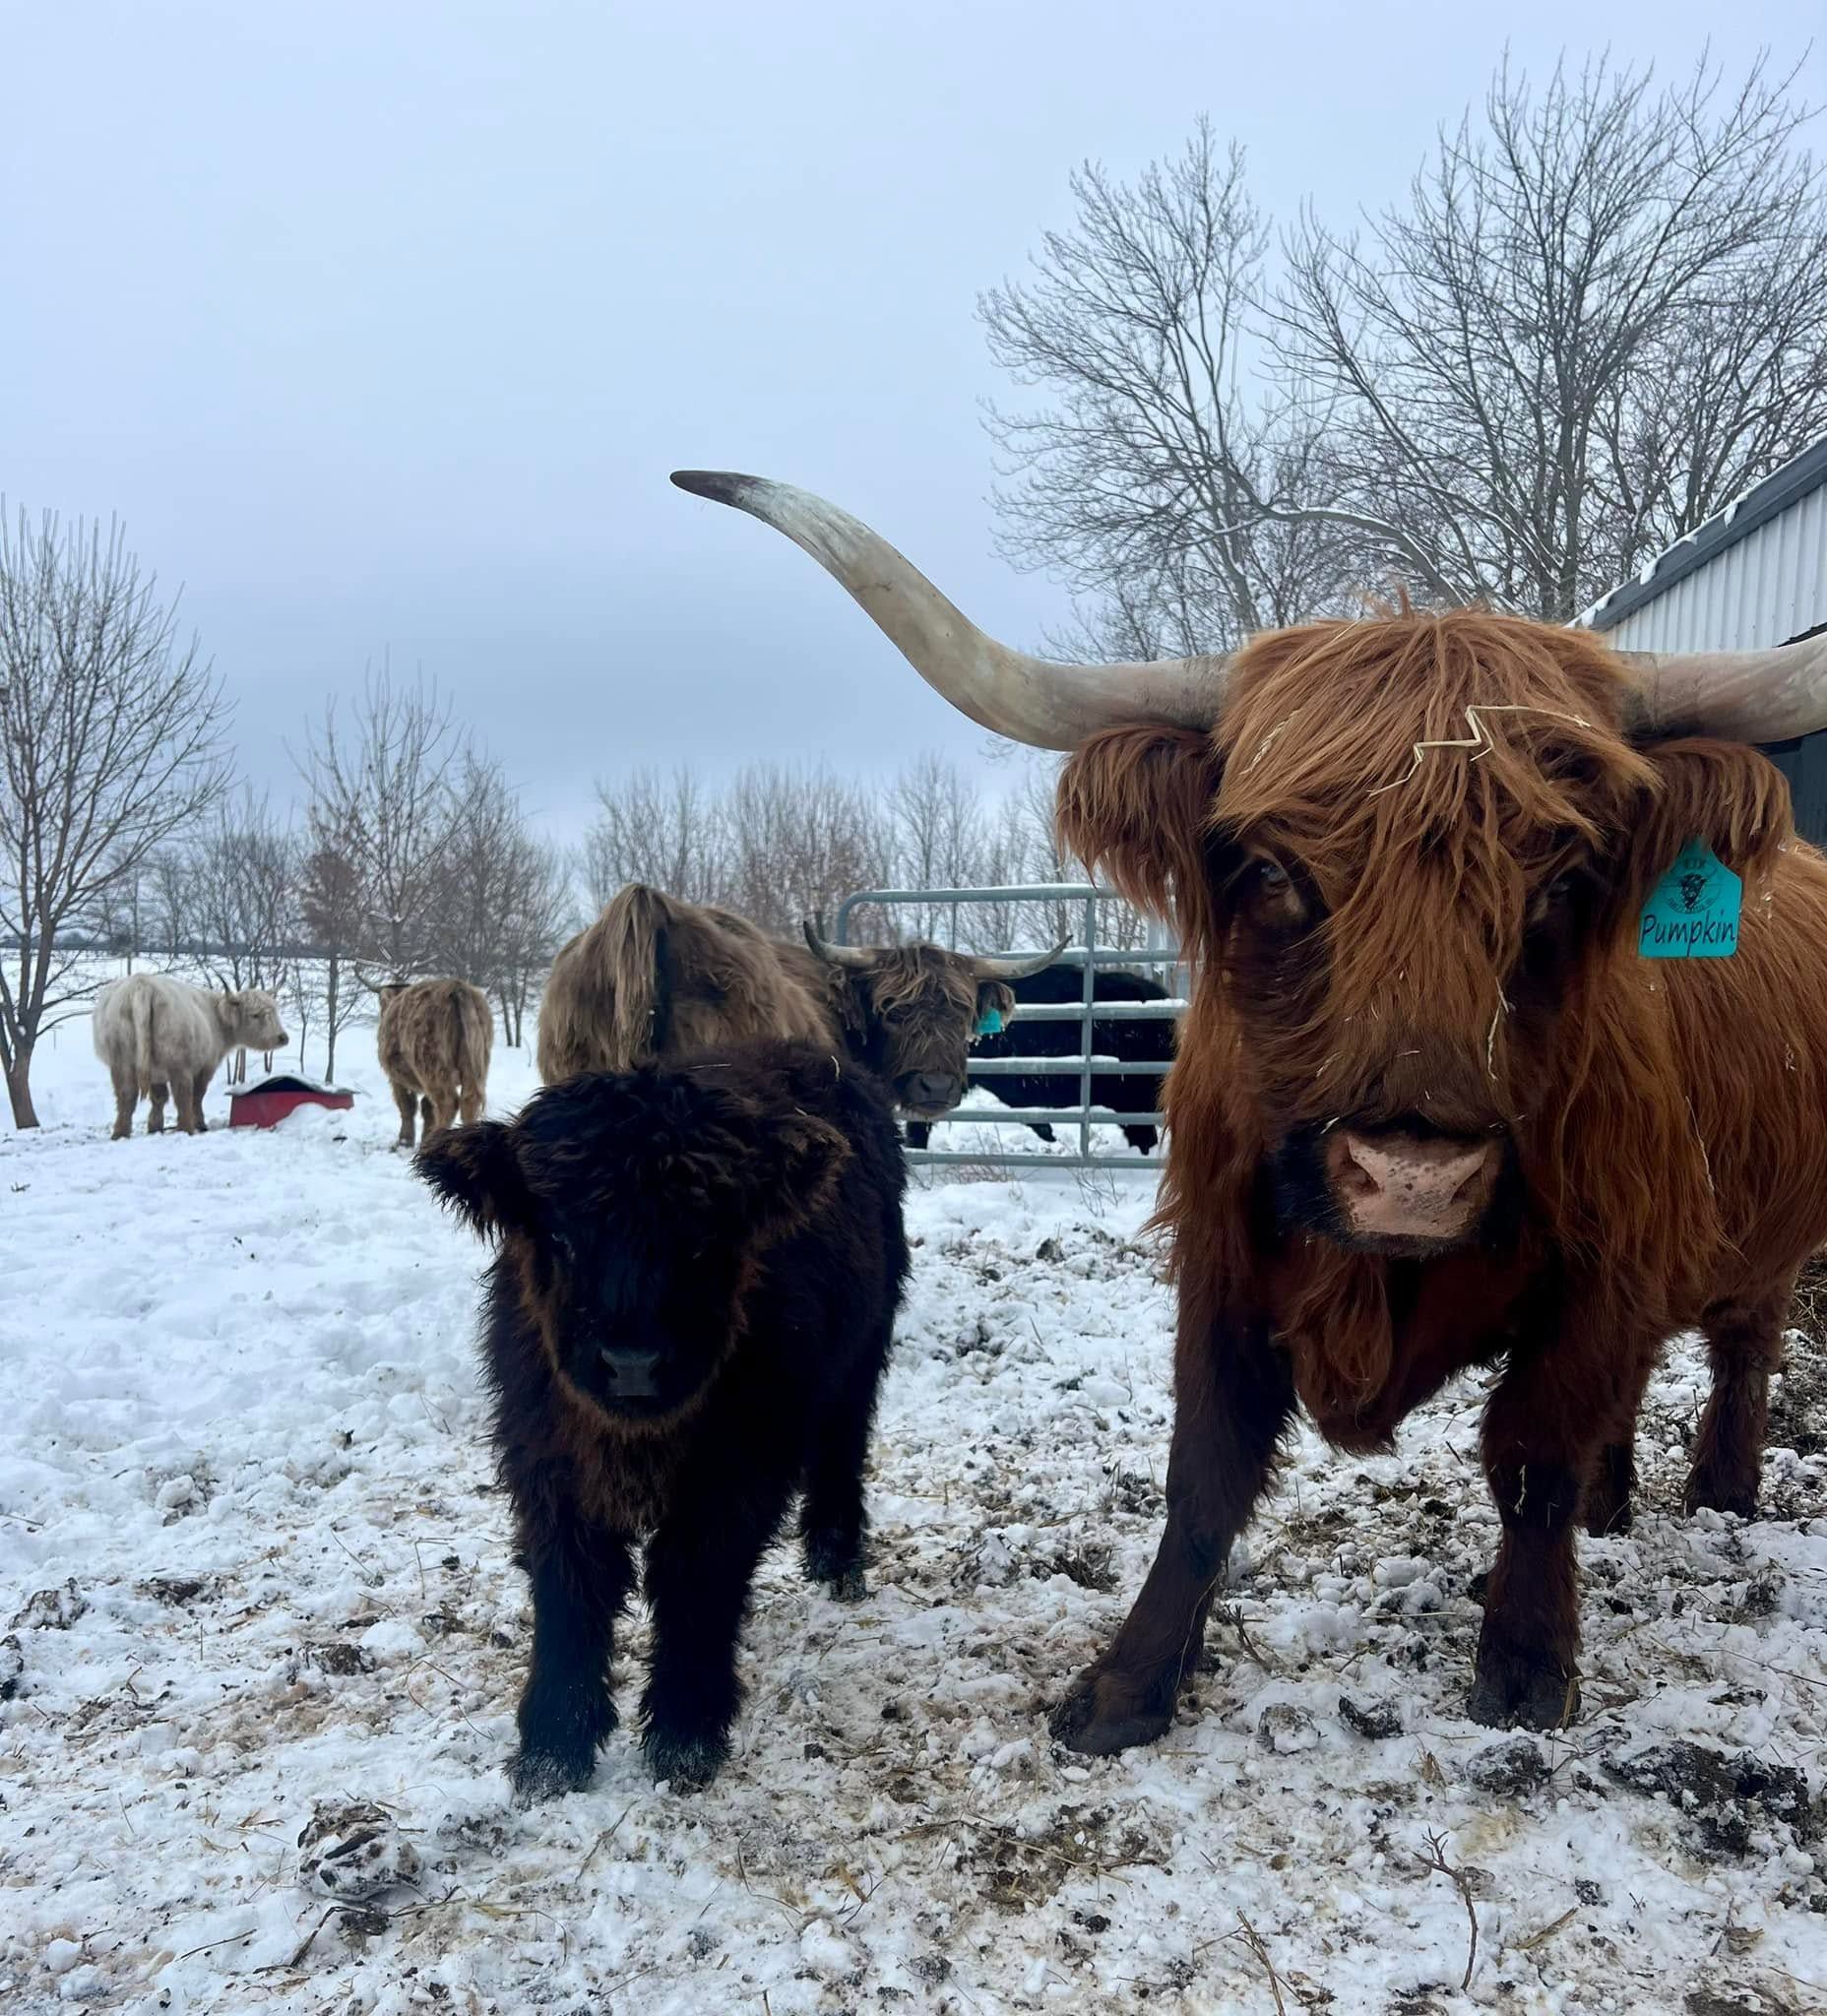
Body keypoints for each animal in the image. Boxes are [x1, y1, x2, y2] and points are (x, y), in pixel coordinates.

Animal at [92, 974, 289, 1138]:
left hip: (122, 1062)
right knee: (184, 1094)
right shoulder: (206, 1066)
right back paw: (187, 1128)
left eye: (274, 1011)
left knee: (126, 1094)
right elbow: (198, 1095)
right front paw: (199, 1123)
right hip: (179, 1063)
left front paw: (154, 1127)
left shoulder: (157, 1072)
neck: (216, 1020)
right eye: (255, 1015)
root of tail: (143, 984)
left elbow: (159, 1098)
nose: (283, 1037)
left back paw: (120, 1133)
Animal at [376, 978, 493, 1146]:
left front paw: (404, 1141)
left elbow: (407, 1105)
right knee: (469, 1101)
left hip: (432, 1066)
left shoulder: (396, 1079)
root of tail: (456, 987)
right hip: (475, 1067)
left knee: (447, 1104)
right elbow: (427, 1108)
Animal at [415, 1039, 909, 1799]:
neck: (632, 1443)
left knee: (842, 1448)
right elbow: (569, 1595)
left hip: (863, 1351)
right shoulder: (544, 1465)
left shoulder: (738, 1472)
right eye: (560, 1235)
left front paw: (685, 1734)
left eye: (703, 1237)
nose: (631, 1362)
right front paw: (553, 1749)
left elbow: (696, 1584)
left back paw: (836, 1557)